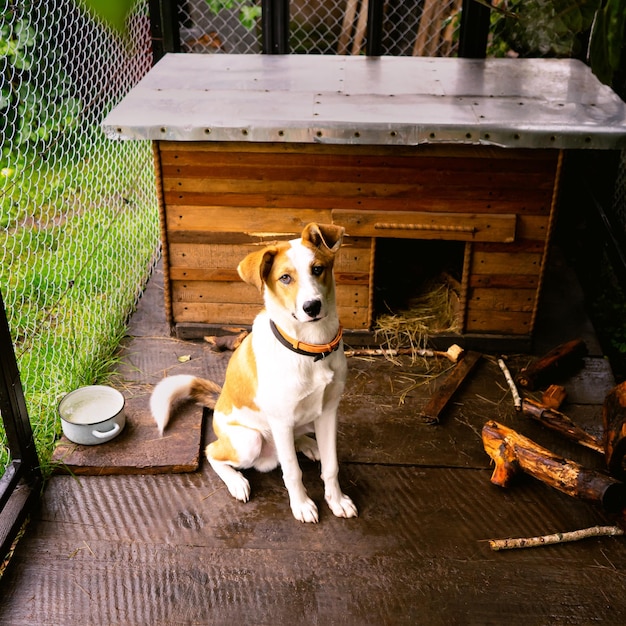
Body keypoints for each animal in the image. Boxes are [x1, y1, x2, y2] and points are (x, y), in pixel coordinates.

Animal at [149, 222, 356, 520]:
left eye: (317, 269)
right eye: (285, 278)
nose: (312, 307)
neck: (311, 348)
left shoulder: (328, 411)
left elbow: (331, 466)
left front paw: (336, 500)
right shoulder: (281, 421)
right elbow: (292, 472)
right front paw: (302, 505)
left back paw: (308, 444)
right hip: (249, 440)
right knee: (213, 451)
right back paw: (237, 481)